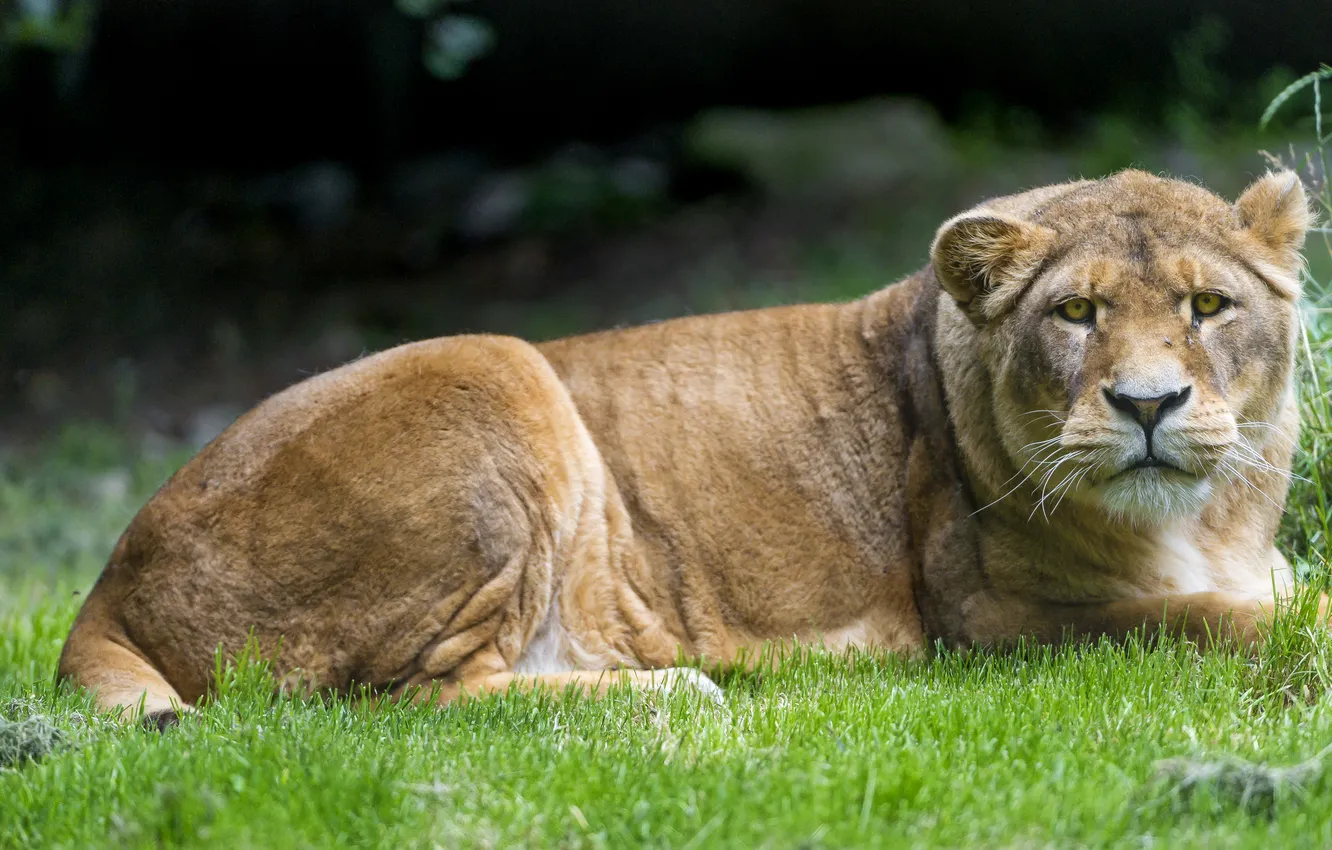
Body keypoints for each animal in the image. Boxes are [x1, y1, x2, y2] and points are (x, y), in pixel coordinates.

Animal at [58, 169, 1317, 726]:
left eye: (1207, 307)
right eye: (1076, 314)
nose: (1148, 404)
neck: (1209, 516)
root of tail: (109, 576)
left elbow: (1268, 595)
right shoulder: (992, 621)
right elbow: (1208, 620)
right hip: (493, 363)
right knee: (409, 701)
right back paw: (678, 689)